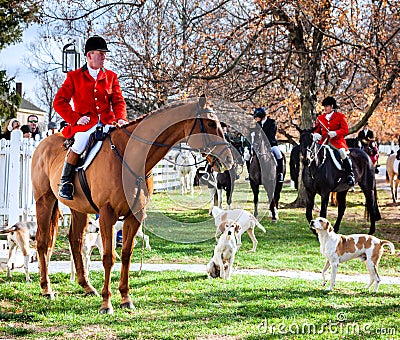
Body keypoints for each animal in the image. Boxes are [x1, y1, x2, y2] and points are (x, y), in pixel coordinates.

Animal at [32, 97, 233, 314]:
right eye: (211, 124)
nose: (229, 159)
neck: (129, 156)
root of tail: (44, 143)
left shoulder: (135, 215)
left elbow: (126, 255)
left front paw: (125, 298)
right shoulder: (107, 215)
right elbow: (109, 257)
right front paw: (106, 303)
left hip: (78, 209)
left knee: (75, 240)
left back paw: (86, 286)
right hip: (44, 201)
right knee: (43, 242)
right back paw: (46, 289)